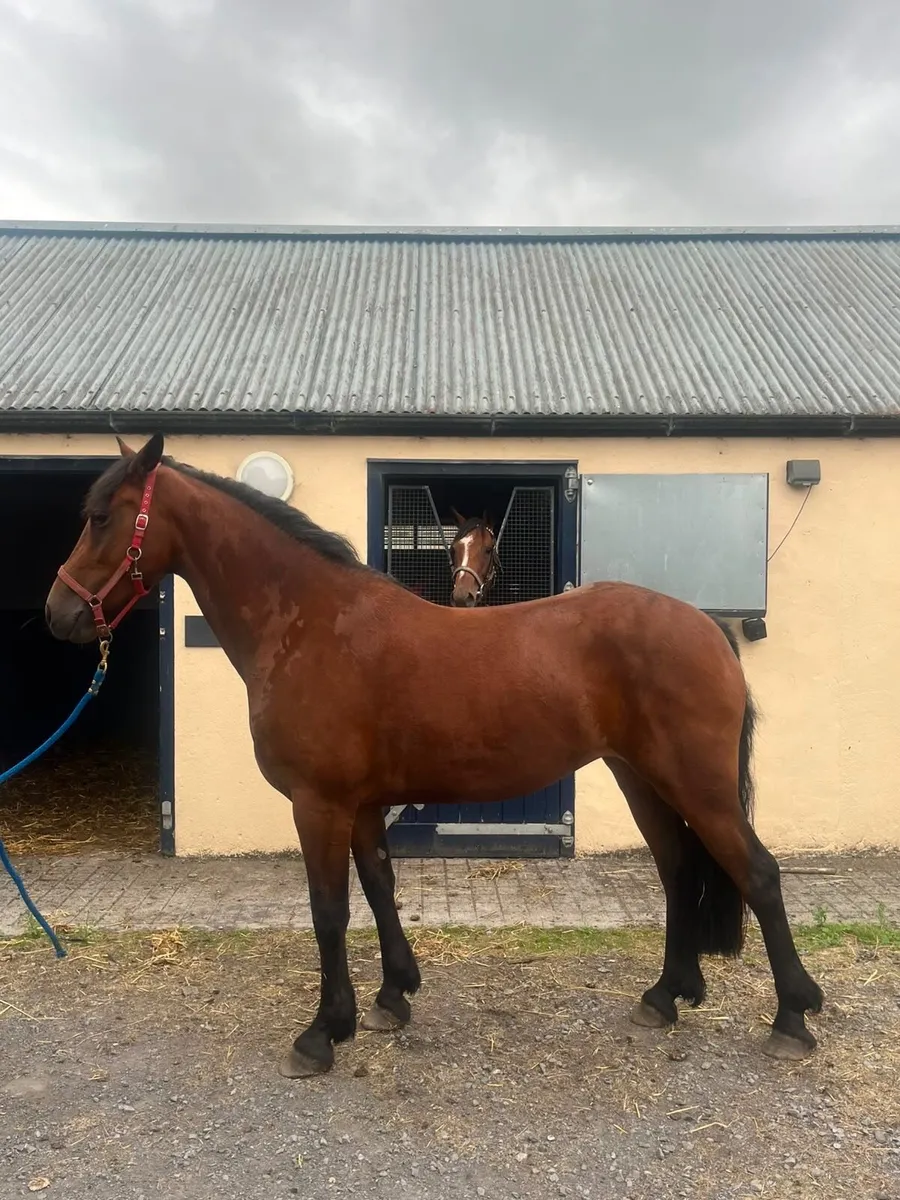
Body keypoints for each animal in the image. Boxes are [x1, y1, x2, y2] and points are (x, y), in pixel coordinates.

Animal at [45, 433, 824, 1078]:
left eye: (104, 516)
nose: (60, 612)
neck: (308, 623)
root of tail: (704, 625)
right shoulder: (359, 806)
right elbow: (380, 887)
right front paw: (392, 997)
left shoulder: (319, 804)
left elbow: (329, 909)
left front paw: (322, 1033)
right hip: (641, 778)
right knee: (678, 870)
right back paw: (665, 996)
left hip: (697, 784)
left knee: (758, 874)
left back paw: (792, 1017)